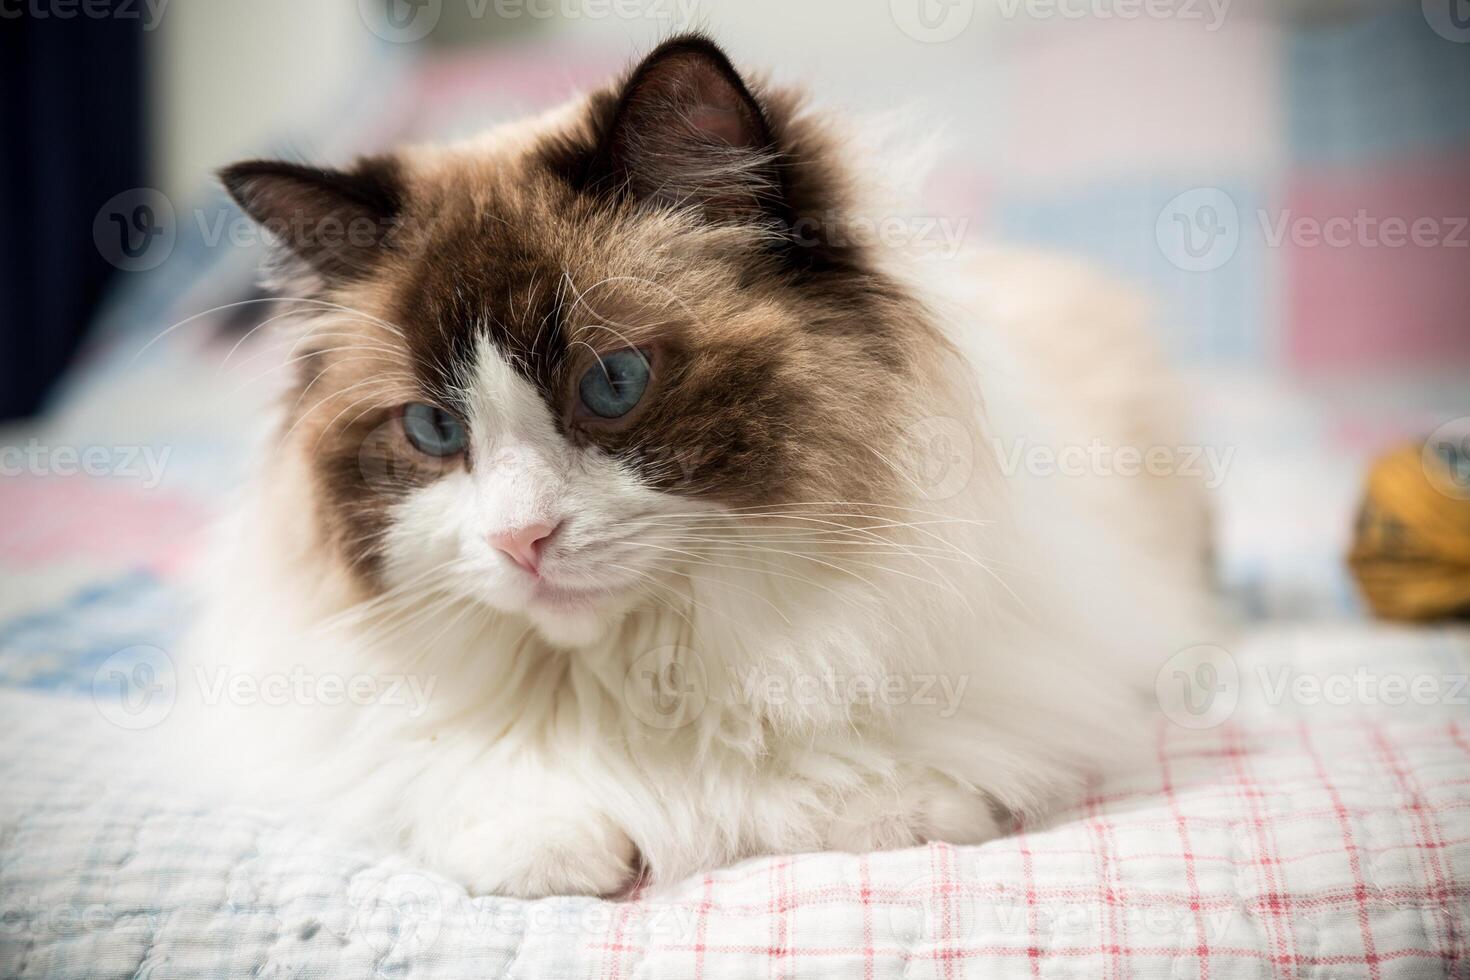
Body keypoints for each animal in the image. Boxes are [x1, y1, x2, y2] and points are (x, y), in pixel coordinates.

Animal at [189, 36, 1211, 899]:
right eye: (435, 429)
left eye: (613, 383)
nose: (521, 540)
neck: (640, 675)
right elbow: (471, 786)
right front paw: (556, 849)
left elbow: (839, 778)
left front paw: (873, 809)